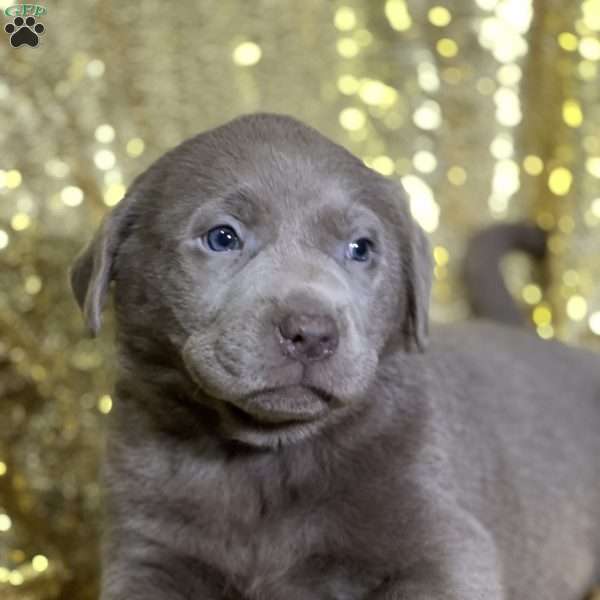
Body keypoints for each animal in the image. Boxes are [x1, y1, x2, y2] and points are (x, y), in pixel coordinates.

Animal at [71, 113, 600, 600]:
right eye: (222, 237)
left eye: (360, 248)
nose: (311, 332)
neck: (265, 460)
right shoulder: (147, 549)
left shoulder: (446, 543)